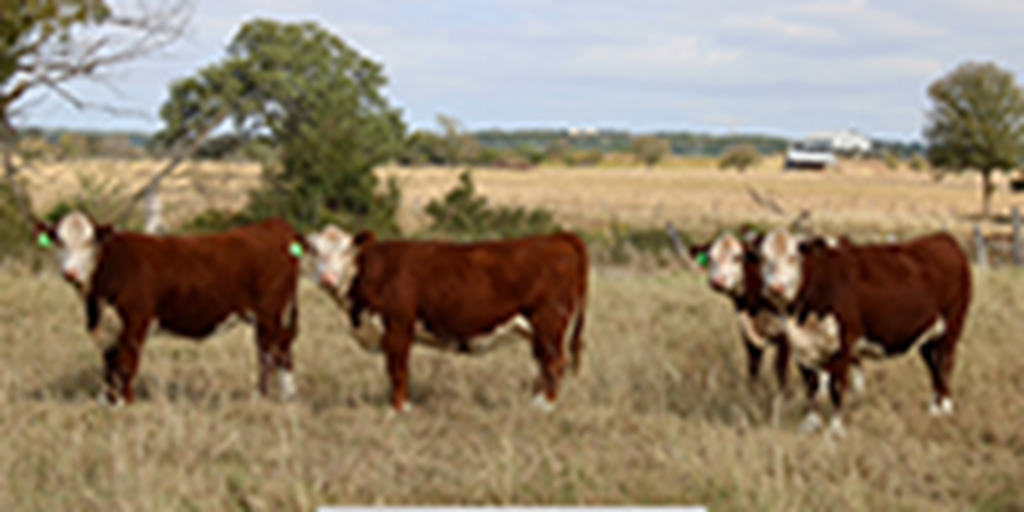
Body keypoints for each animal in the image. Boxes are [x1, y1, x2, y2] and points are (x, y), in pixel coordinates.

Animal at [37, 210, 307, 403]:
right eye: (59, 241)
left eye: (89, 242)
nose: (70, 273)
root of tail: (274, 225)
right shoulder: (108, 326)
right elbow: (109, 362)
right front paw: (107, 400)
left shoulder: (135, 321)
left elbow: (125, 363)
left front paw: (125, 401)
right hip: (277, 315)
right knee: (283, 349)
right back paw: (289, 395)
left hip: (269, 314)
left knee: (268, 352)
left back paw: (261, 396)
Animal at [303, 226, 589, 413]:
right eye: (313, 251)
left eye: (346, 251)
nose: (327, 278)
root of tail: (557, 238)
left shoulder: (398, 325)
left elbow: (397, 369)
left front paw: (398, 409)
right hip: (538, 329)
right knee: (544, 362)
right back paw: (535, 402)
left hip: (548, 321)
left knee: (555, 362)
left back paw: (543, 406)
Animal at [765, 230, 970, 434]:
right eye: (764, 258)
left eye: (793, 257)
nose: (775, 288)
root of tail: (942, 238)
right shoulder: (801, 347)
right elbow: (811, 385)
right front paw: (811, 423)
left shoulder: (844, 342)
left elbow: (837, 386)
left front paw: (836, 428)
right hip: (927, 335)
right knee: (933, 366)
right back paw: (934, 406)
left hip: (951, 327)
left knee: (945, 364)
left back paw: (945, 407)